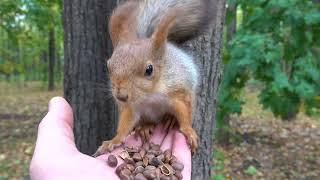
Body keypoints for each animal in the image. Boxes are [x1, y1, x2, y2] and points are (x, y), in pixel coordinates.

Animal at [94, 0, 214, 155]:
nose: (121, 96)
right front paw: (114, 140)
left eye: (149, 70)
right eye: (108, 66)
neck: (149, 95)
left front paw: (188, 131)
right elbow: (125, 123)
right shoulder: (131, 106)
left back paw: (169, 119)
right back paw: (145, 127)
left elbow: (183, 112)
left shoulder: (177, 90)